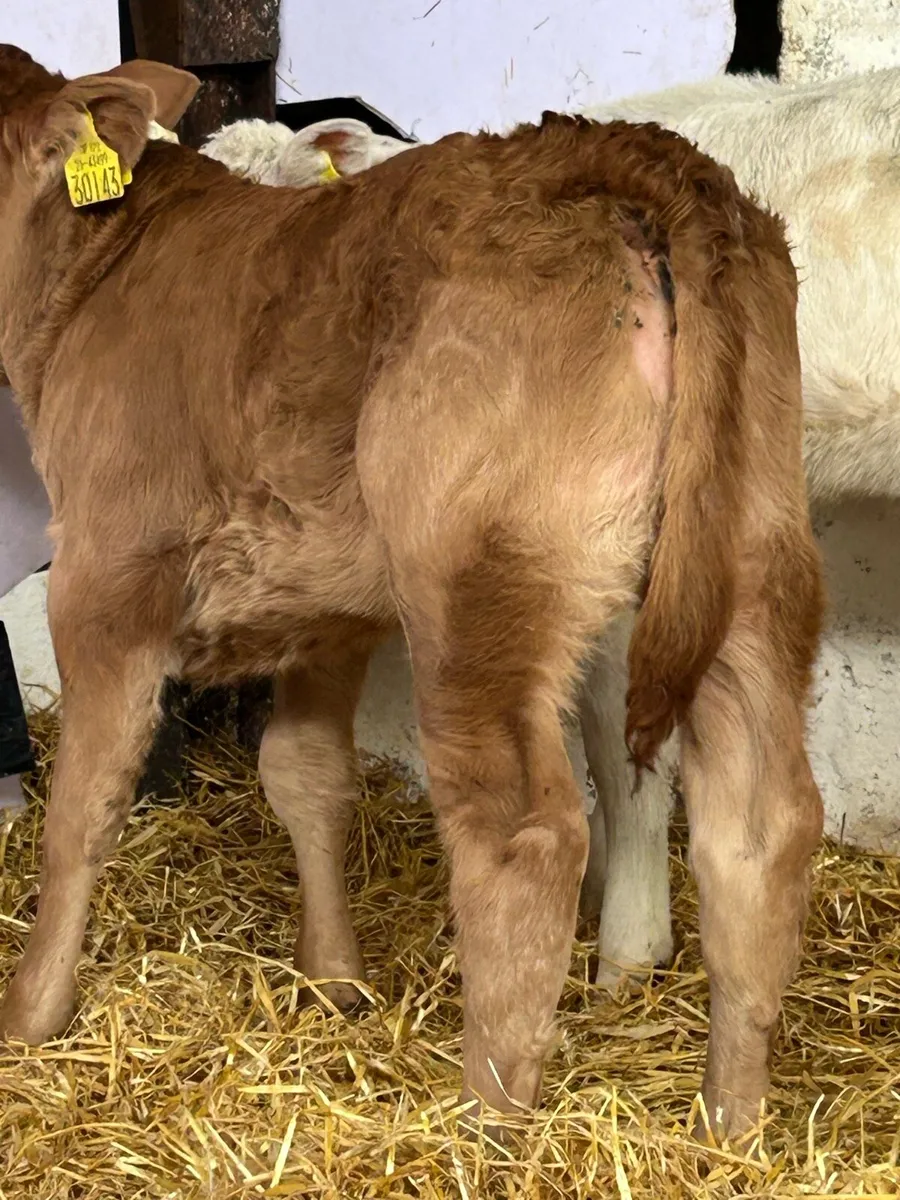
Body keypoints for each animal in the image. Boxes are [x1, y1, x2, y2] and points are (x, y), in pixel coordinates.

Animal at [0, 45, 823, 1146]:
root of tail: (625, 154)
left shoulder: (106, 571)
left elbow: (85, 805)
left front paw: (33, 1013)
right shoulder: (325, 609)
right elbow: (305, 775)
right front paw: (336, 980)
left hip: (482, 583)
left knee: (525, 835)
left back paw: (490, 1123)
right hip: (753, 558)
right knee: (759, 824)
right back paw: (732, 1127)